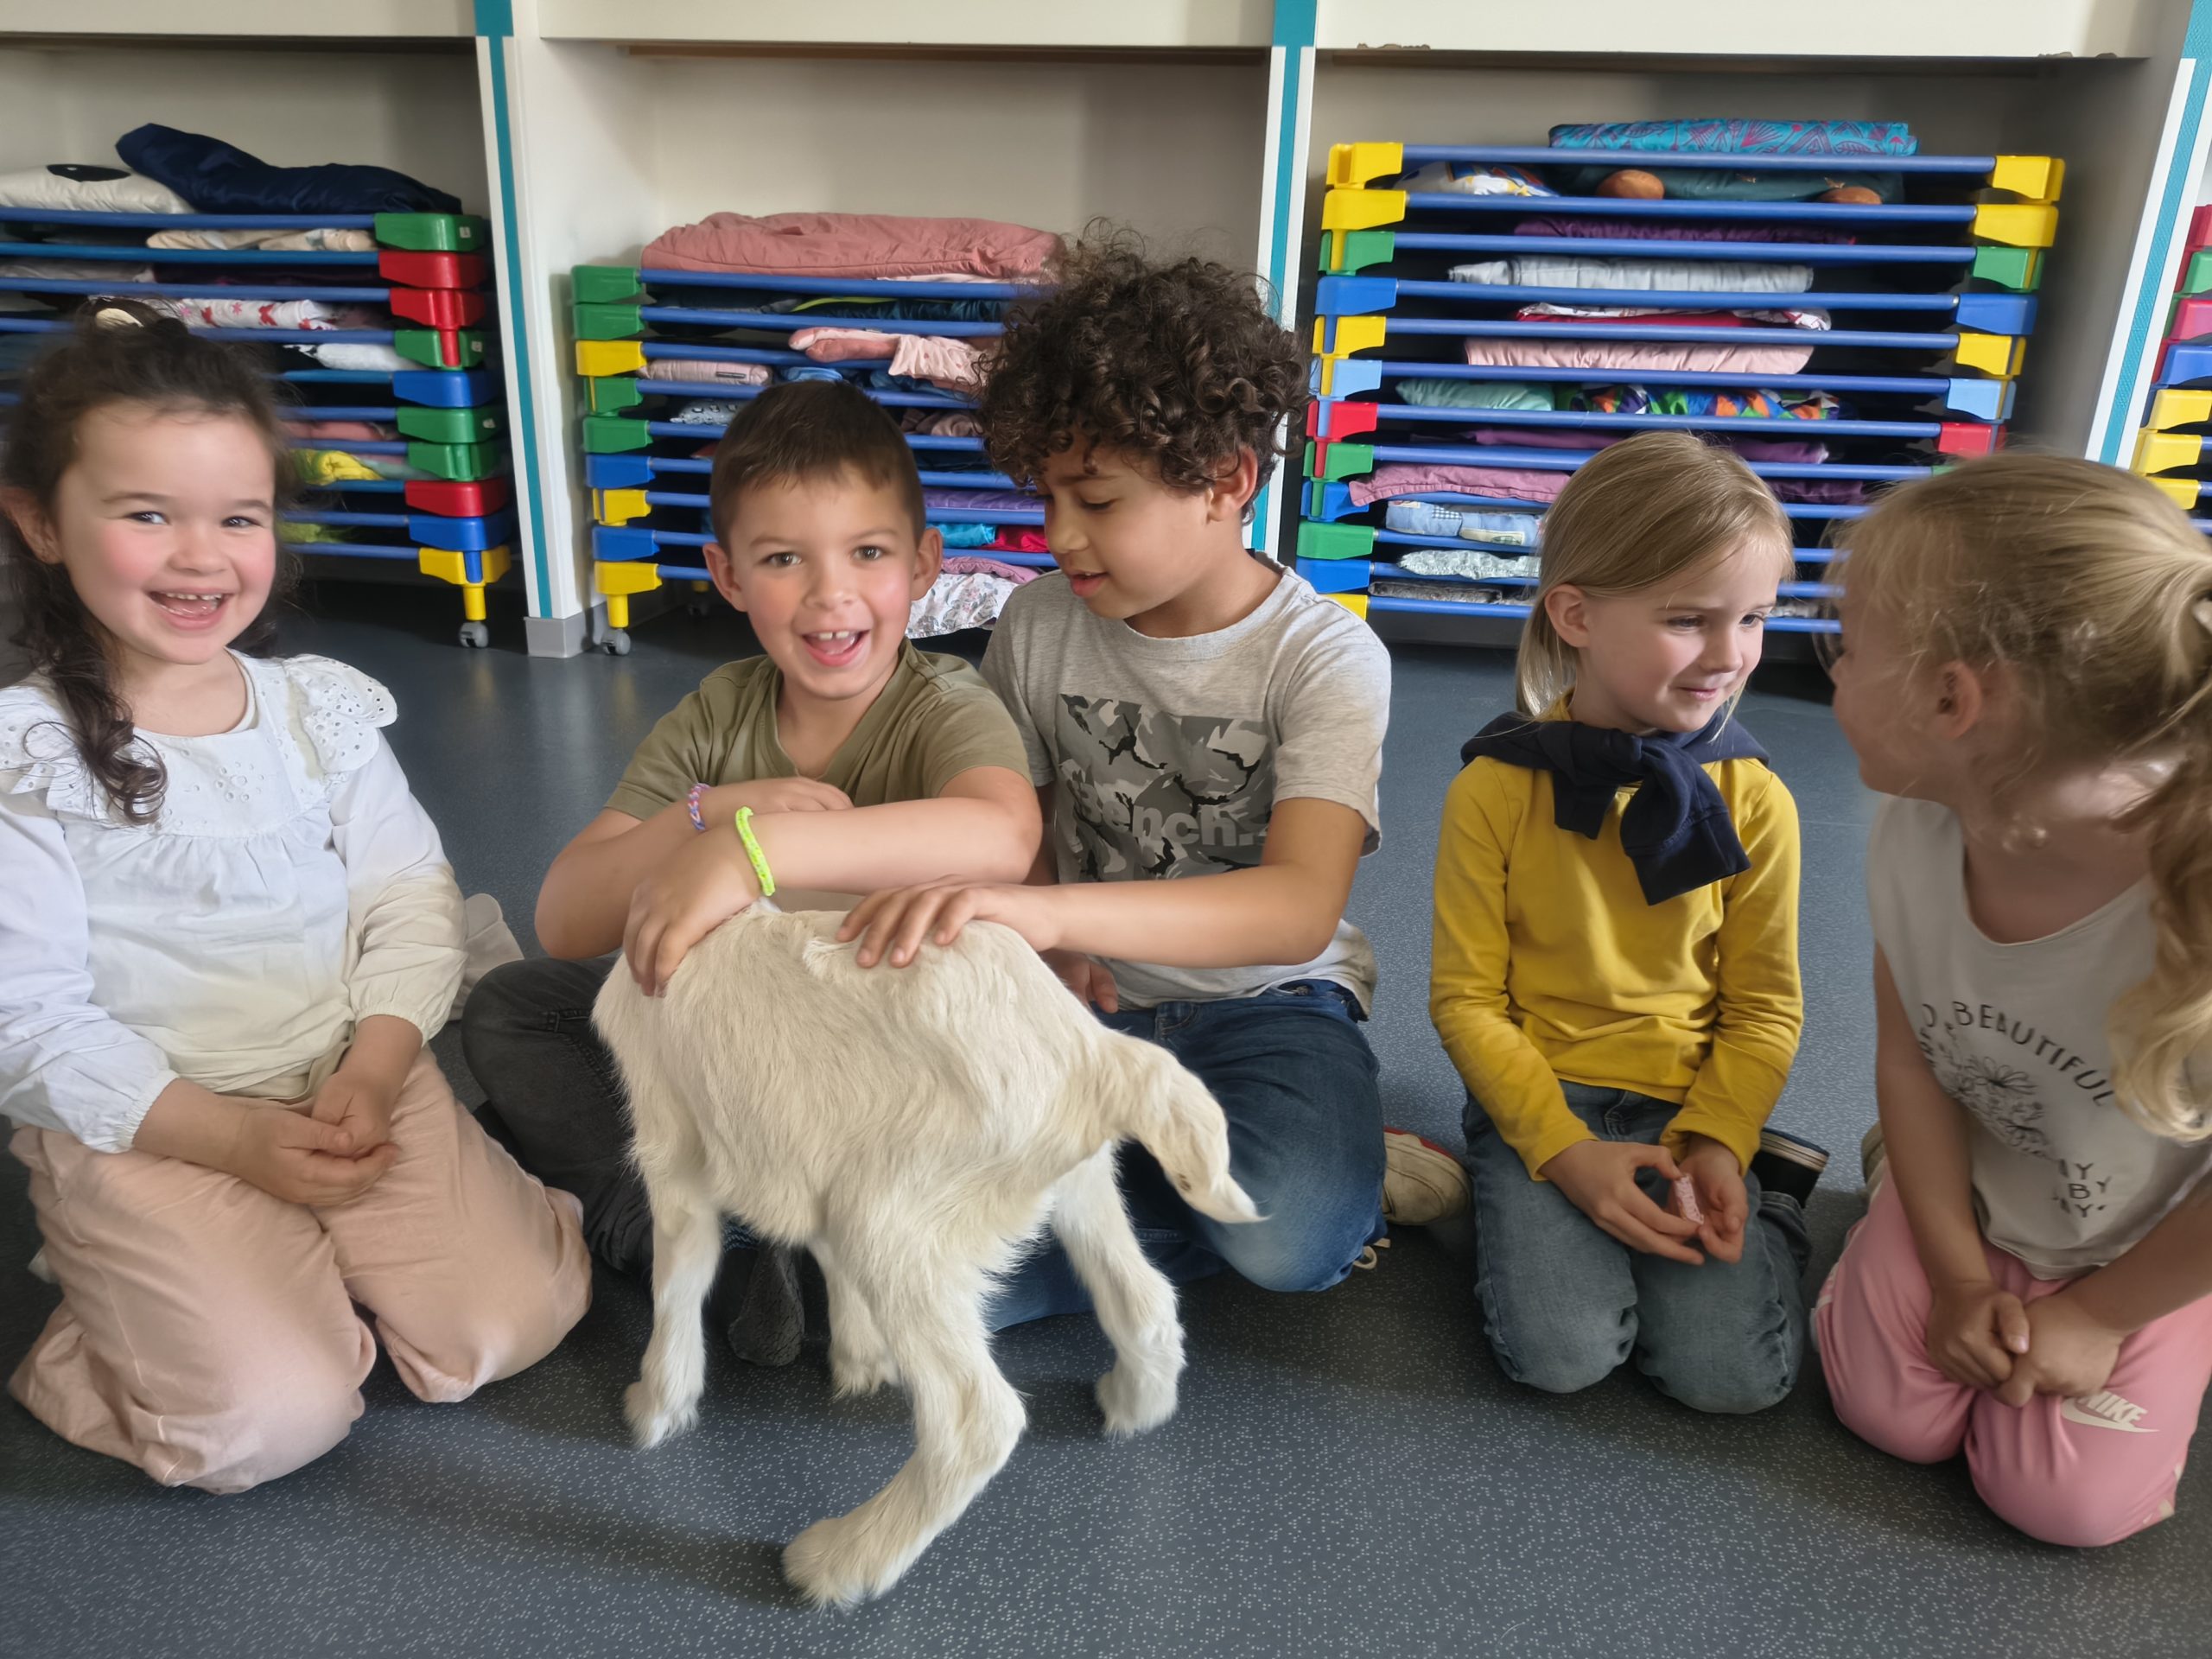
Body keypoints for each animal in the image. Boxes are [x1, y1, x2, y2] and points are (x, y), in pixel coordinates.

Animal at [592, 901, 1258, 1607]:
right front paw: (858, 1361)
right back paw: (1133, 1406)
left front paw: (656, 1405)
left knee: (976, 1421)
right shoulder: (817, 1157)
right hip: (1075, 1185)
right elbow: (823, 1258)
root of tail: (1096, 1056)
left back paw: (837, 1562)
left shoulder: (671, 1147)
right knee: (1144, 1302)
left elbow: (679, 1280)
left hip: (895, 1223)